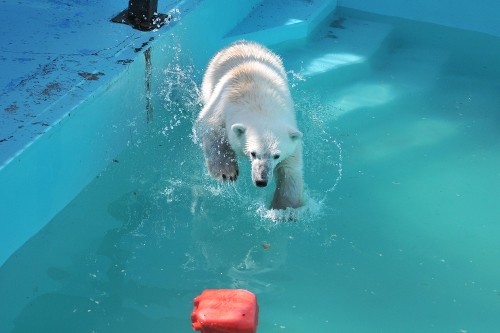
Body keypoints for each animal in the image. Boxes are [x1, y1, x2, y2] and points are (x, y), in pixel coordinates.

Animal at [196, 40, 304, 209]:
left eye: (276, 155)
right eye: (253, 153)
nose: (261, 181)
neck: (259, 103)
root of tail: (242, 41)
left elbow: (290, 166)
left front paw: (285, 207)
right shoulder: (221, 105)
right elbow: (210, 127)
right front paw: (227, 172)